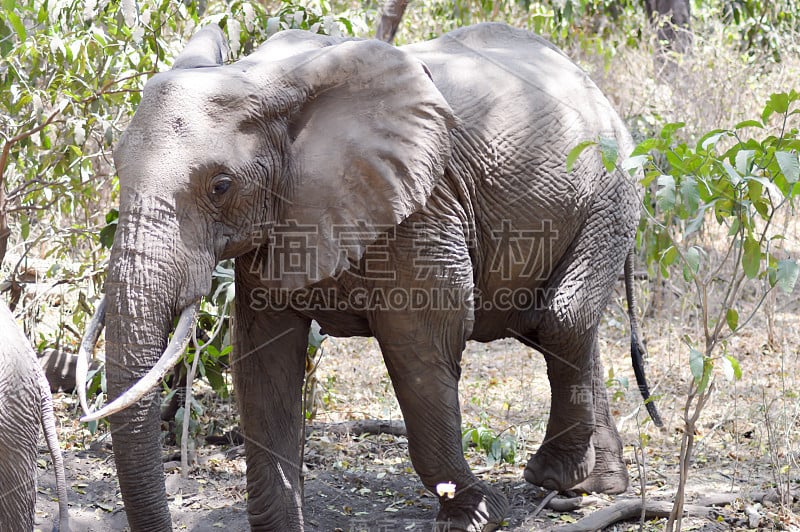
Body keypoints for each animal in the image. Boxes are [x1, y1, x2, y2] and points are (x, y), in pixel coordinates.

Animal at [76, 21, 664, 532]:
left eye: (220, 186)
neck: (264, 80)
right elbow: (263, 362)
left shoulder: (422, 209)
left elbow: (420, 348)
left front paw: (478, 516)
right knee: (559, 327)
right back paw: (594, 486)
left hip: (611, 194)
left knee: (561, 320)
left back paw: (554, 480)